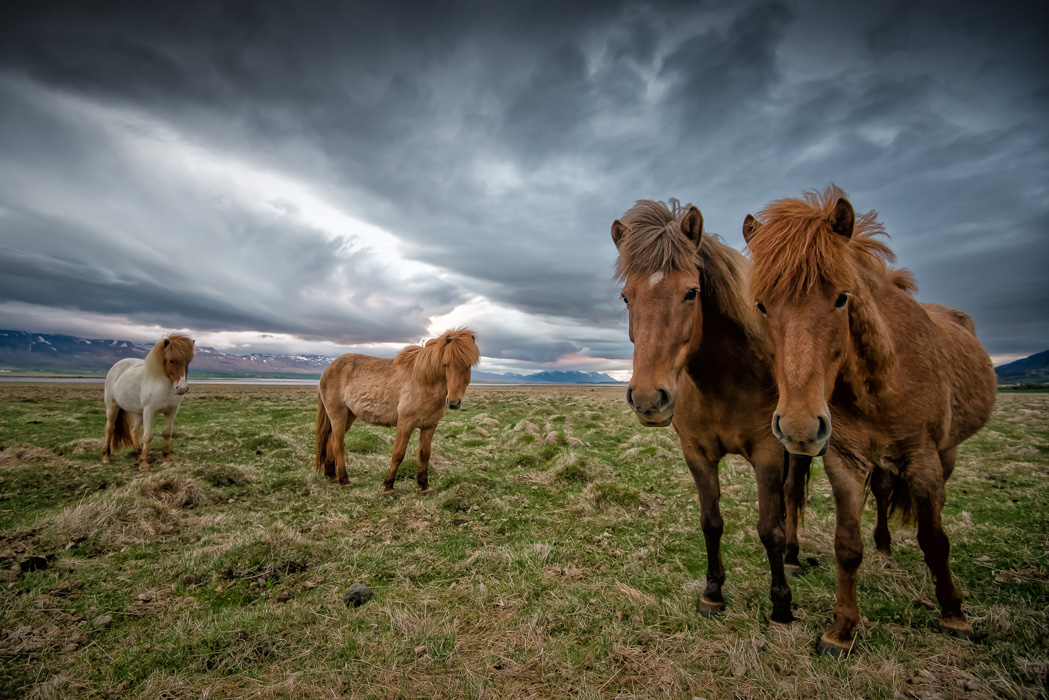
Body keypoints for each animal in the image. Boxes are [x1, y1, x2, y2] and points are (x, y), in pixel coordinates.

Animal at [104, 333, 198, 470]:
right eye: (171, 360)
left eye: (188, 362)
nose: (181, 389)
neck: (165, 387)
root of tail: (117, 366)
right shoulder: (149, 411)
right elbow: (147, 437)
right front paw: (143, 463)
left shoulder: (172, 411)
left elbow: (167, 433)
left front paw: (167, 457)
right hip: (112, 407)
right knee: (110, 428)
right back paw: (106, 456)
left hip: (138, 411)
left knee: (134, 430)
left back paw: (137, 451)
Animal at [312, 331, 480, 495]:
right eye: (446, 364)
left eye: (468, 365)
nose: (453, 402)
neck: (424, 382)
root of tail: (329, 369)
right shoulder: (405, 424)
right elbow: (398, 454)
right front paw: (389, 487)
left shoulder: (429, 426)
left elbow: (425, 454)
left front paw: (425, 486)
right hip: (338, 415)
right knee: (338, 444)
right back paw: (345, 481)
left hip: (349, 416)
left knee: (330, 441)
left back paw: (332, 475)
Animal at [612, 198, 814, 625]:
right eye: (626, 297)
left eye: (692, 292)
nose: (648, 399)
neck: (724, 382)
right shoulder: (697, 453)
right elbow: (711, 522)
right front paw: (712, 593)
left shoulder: (769, 453)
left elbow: (769, 528)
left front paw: (781, 604)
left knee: (791, 496)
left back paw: (791, 559)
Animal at [742, 185, 994, 659]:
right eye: (762, 305)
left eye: (842, 298)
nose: (800, 425)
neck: (880, 382)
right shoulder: (844, 460)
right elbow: (846, 545)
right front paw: (841, 629)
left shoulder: (923, 460)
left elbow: (935, 539)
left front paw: (954, 615)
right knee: (875, 492)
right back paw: (880, 550)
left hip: (946, 452)